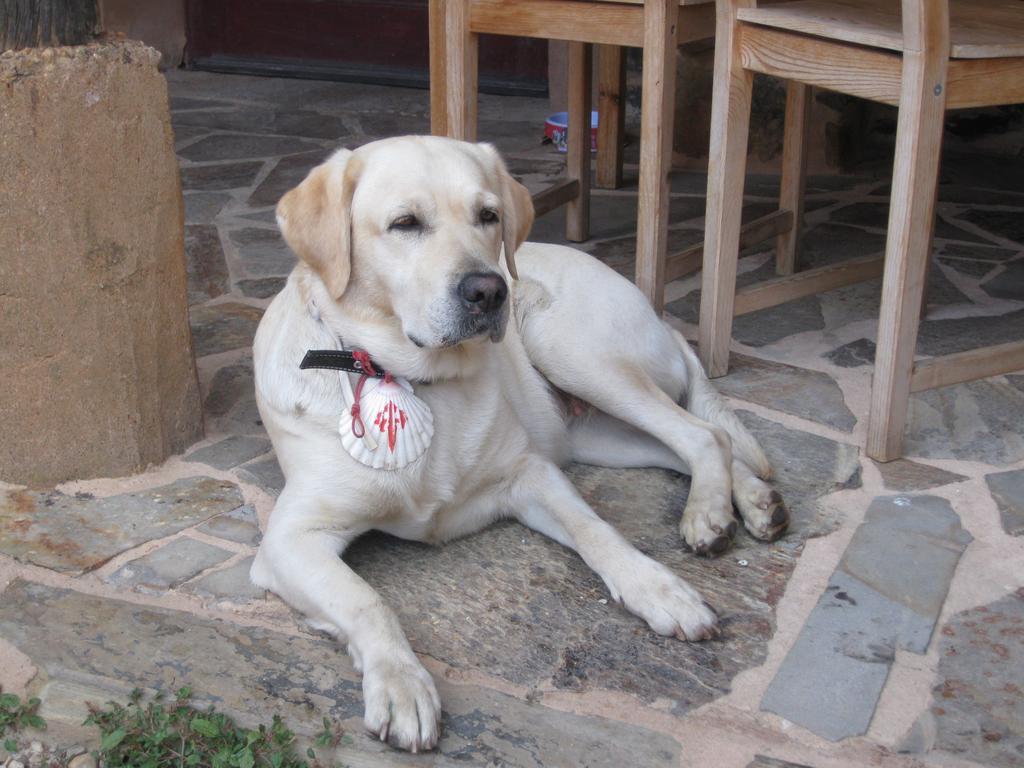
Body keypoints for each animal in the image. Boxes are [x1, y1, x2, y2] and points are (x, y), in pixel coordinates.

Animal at [251, 137, 786, 753]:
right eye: (405, 223)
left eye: (489, 215)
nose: (488, 290)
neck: (414, 378)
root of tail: (663, 318)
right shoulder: (291, 539)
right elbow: (366, 599)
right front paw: (402, 684)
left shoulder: (530, 474)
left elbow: (596, 530)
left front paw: (659, 589)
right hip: (596, 432)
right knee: (701, 441)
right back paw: (748, 504)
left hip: (570, 348)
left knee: (702, 432)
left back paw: (711, 514)